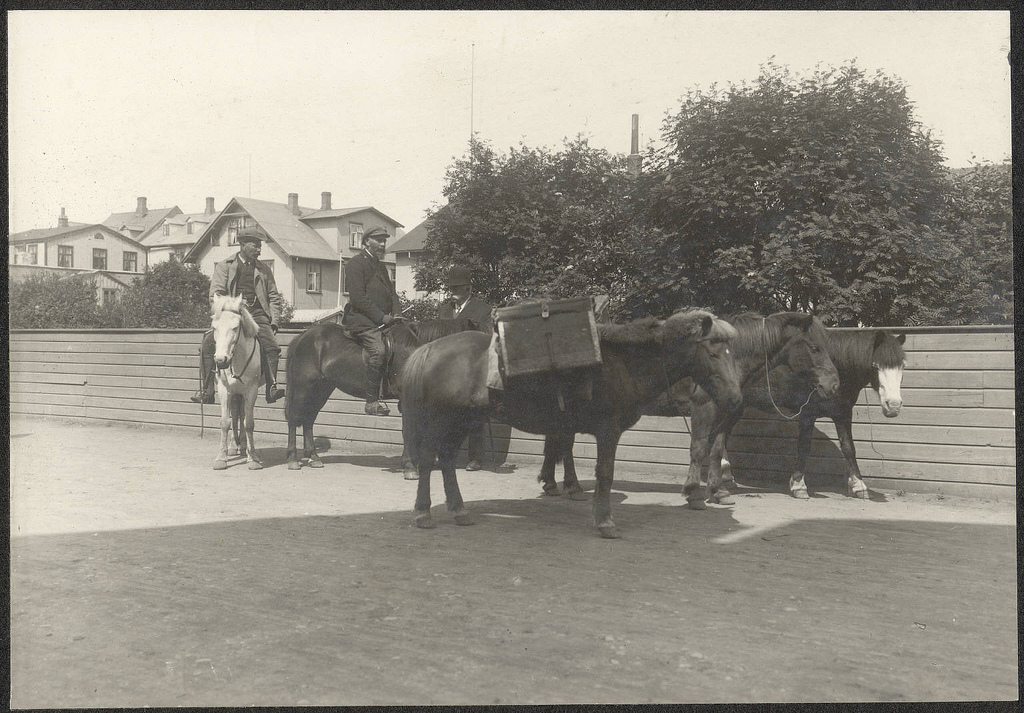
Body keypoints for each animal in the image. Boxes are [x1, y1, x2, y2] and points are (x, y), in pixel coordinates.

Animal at [207, 292, 262, 471]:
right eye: (214, 327)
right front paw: (221, 458)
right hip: (235, 393)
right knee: (236, 414)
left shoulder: (251, 391)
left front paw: (253, 458)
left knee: (242, 415)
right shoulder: (225, 390)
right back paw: (233, 447)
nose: (221, 360)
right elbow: (225, 422)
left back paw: (244, 446)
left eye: (236, 327)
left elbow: (249, 423)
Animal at [284, 317, 483, 467]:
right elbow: (408, 429)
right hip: (304, 386)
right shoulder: (407, 399)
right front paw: (409, 465)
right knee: (294, 418)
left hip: (321, 389)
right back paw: (293, 459)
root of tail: (303, 336)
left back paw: (313, 457)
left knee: (308, 419)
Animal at [399, 309, 745, 536]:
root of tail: (430, 349)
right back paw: (423, 513)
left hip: (462, 420)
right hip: (441, 418)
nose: (734, 398)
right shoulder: (608, 431)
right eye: (713, 351)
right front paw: (604, 521)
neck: (623, 364)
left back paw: (459, 511)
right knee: (428, 460)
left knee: (445, 460)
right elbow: (605, 474)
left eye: (733, 351)